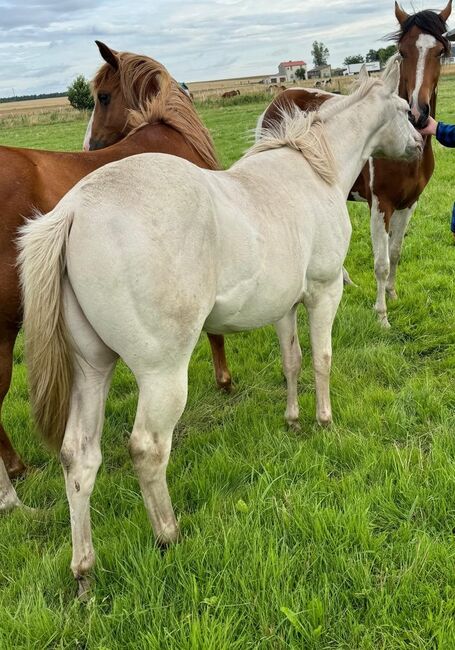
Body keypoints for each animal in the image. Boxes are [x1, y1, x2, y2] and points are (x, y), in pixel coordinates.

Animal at [18, 63, 424, 588]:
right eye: (404, 109)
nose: (419, 143)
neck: (314, 170)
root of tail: (72, 212)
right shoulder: (323, 292)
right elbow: (321, 359)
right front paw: (323, 419)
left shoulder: (283, 306)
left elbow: (292, 361)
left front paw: (293, 419)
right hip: (162, 375)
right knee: (148, 449)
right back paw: (168, 534)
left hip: (92, 370)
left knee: (79, 457)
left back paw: (84, 570)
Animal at [256, 2, 452, 326]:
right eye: (402, 51)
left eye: (440, 51)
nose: (418, 113)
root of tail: (281, 97)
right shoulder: (380, 204)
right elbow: (381, 262)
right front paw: (382, 315)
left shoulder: (409, 203)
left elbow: (395, 252)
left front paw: (392, 294)